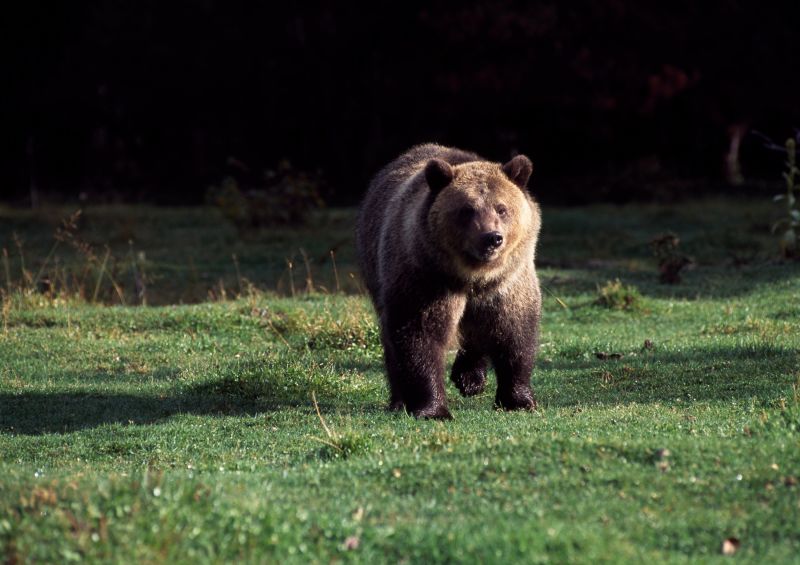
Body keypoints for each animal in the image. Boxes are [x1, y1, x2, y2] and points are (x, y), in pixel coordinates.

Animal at [358, 144, 540, 418]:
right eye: (467, 209)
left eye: (502, 208)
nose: (492, 238)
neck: (473, 275)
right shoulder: (426, 278)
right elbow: (420, 334)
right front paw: (432, 408)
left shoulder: (508, 282)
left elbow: (514, 332)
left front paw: (518, 400)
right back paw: (400, 400)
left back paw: (470, 378)